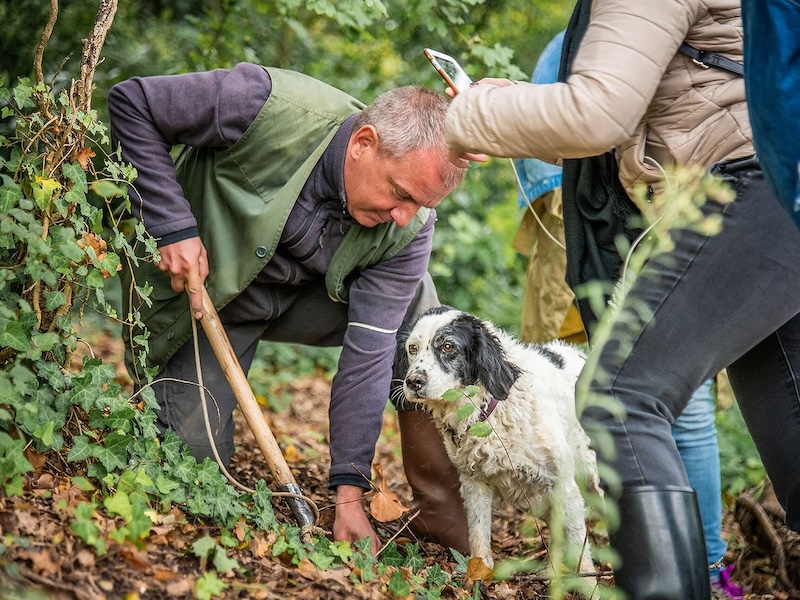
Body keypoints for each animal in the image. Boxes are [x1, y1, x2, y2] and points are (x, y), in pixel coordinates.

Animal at [394, 308, 600, 576]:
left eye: (448, 346)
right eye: (413, 348)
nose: (413, 382)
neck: (487, 411)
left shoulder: (564, 484)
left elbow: (579, 547)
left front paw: (588, 582)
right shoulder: (474, 483)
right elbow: (479, 535)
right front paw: (479, 575)